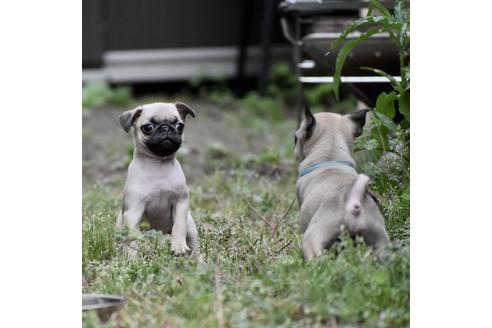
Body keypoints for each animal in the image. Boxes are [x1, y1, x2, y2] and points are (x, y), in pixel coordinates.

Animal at [116, 102, 199, 256]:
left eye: (179, 126)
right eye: (148, 127)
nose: (166, 128)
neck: (158, 164)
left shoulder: (180, 202)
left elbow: (179, 226)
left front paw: (178, 246)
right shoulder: (134, 210)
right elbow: (131, 237)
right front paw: (131, 257)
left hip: (190, 226)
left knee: (194, 245)